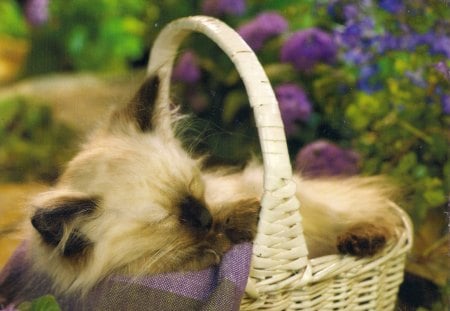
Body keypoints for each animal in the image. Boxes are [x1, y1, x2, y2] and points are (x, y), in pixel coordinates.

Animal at [19, 74, 400, 296]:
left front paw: (242, 218)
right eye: (170, 220)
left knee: (367, 216)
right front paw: (218, 239)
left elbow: (233, 220)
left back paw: (362, 240)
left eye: (194, 187)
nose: (204, 218)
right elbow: (195, 253)